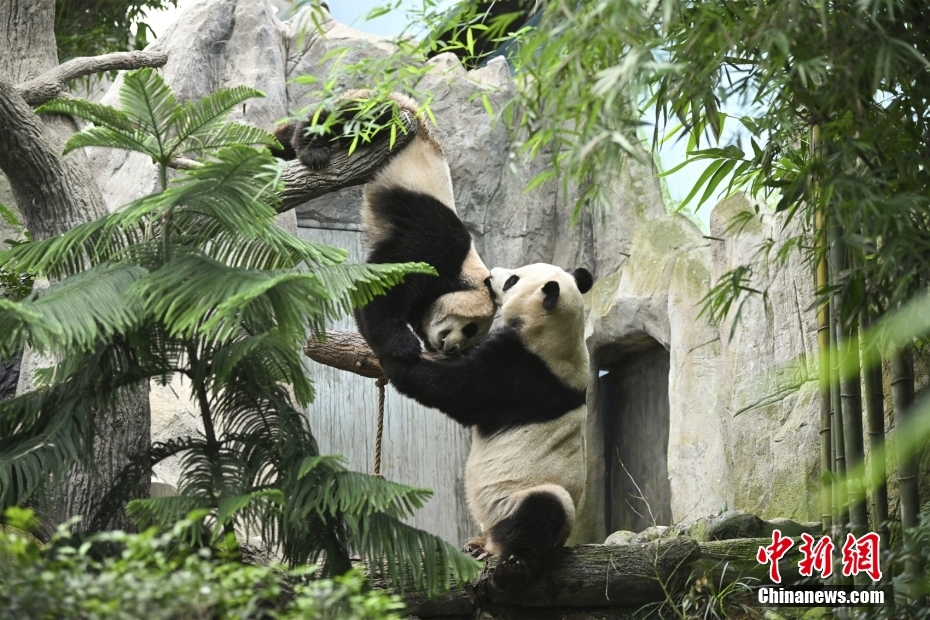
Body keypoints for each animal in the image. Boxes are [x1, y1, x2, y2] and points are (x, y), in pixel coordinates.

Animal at [271, 92, 496, 361]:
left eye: (470, 338)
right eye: (469, 328)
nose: (451, 349)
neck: (465, 268)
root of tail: (408, 101)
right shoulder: (435, 244)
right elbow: (384, 281)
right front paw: (402, 346)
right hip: (386, 115)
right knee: (344, 116)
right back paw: (312, 150)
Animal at [382, 263, 594, 591]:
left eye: (512, 280)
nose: (490, 274)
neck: (558, 332)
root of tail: (497, 538)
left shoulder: (524, 372)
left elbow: (457, 389)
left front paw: (393, 356)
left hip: (525, 496)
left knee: (543, 513)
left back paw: (512, 570)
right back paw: (477, 545)